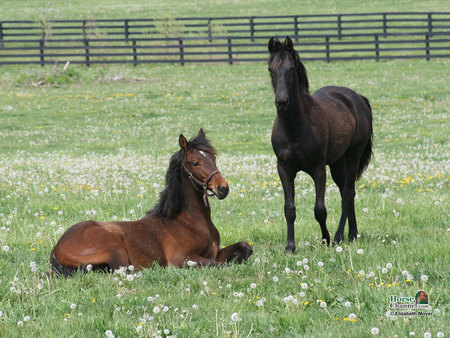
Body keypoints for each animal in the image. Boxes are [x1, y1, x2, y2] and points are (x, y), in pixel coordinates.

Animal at [50, 129, 253, 274]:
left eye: (213, 157)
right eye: (195, 162)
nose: (223, 188)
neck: (189, 221)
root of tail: (56, 249)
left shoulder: (215, 252)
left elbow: (245, 248)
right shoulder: (181, 258)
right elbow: (218, 265)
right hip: (115, 247)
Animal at [268, 37, 372, 254]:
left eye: (291, 69)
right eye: (271, 68)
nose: (281, 101)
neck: (295, 125)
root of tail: (358, 98)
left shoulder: (318, 169)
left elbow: (320, 210)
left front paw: (326, 239)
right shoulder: (284, 169)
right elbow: (289, 209)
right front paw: (290, 247)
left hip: (352, 155)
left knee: (348, 193)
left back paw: (340, 236)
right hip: (337, 163)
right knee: (346, 192)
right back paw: (353, 234)